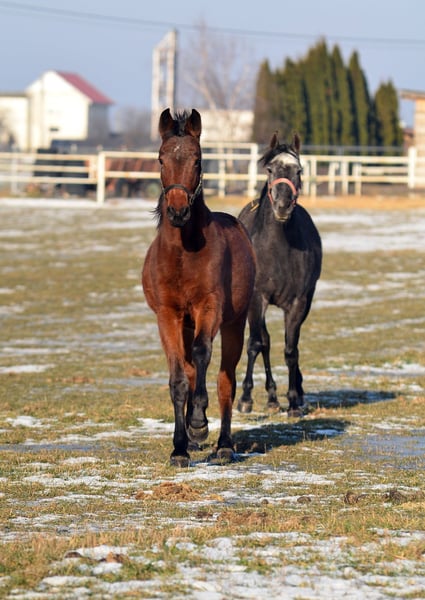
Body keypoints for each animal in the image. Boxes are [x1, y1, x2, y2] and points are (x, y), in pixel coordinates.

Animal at [142, 108, 256, 467]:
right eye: (161, 158)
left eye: (198, 159)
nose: (178, 211)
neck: (183, 253)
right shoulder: (168, 315)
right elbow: (179, 378)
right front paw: (180, 447)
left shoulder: (210, 307)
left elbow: (203, 354)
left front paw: (198, 424)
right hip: (187, 322)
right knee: (192, 370)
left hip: (234, 323)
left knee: (225, 379)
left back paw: (223, 444)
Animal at [237, 132, 322, 417]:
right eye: (270, 169)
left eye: (299, 170)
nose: (283, 206)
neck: (277, 249)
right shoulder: (257, 299)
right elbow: (256, 343)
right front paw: (246, 398)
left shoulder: (298, 303)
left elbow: (290, 349)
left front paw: (295, 400)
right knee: (263, 342)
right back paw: (270, 397)